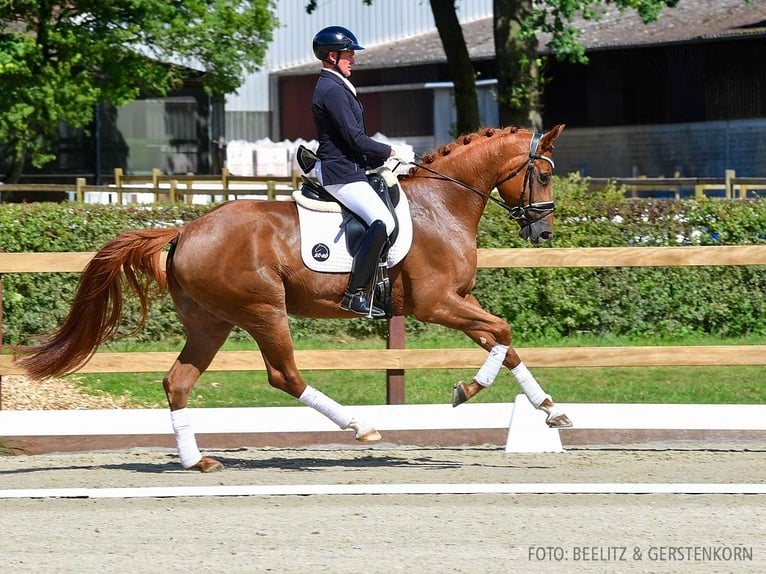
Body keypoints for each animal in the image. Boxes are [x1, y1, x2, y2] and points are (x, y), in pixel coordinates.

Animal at [16, 126, 568, 472]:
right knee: (284, 375)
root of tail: (185, 230)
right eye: (542, 175)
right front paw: (467, 390)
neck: (442, 205)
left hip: (211, 323)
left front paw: (548, 409)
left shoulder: (457, 300)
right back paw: (361, 426)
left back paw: (197, 461)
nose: (542, 233)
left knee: (178, 382)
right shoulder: (437, 303)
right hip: (263, 310)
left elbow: (503, 342)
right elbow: (502, 331)